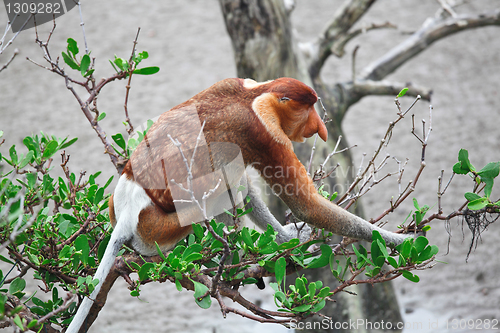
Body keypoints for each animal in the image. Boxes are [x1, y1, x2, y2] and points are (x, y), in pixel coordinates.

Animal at [67, 78, 410, 332]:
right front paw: (400, 240)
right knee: (223, 185)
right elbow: (306, 205)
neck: (254, 96)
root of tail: (128, 209)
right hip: (158, 229)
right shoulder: (265, 134)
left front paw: (289, 240)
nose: (320, 128)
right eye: (308, 109)